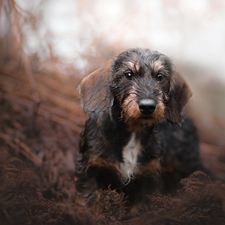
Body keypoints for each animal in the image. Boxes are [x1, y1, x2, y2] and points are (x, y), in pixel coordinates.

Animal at [74, 48, 201, 214]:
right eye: (128, 74)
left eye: (160, 77)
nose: (147, 106)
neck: (134, 132)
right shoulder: (89, 166)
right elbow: (89, 196)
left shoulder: (149, 175)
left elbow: (141, 205)